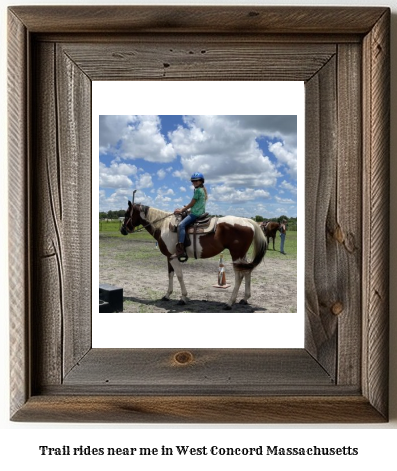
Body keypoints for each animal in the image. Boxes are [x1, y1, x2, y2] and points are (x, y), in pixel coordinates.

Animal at [118, 202, 266, 310]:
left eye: (127, 213)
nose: (122, 230)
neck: (163, 226)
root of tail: (248, 222)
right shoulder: (169, 257)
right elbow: (170, 275)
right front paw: (167, 295)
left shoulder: (173, 257)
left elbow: (179, 276)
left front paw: (183, 298)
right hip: (242, 256)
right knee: (247, 272)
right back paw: (245, 299)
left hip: (236, 255)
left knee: (239, 276)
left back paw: (229, 303)